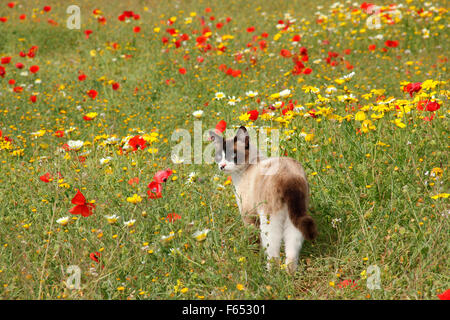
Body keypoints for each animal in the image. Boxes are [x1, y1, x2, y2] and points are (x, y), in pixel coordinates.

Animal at [210, 126, 318, 274]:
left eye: (233, 155)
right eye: (219, 157)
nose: (222, 166)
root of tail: (289, 177)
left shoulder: (248, 215)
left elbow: (253, 239)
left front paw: (253, 255)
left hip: (268, 220)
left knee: (273, 249)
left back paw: (271, 273)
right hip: (294, 217)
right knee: (292, 245)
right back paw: (289, 273)